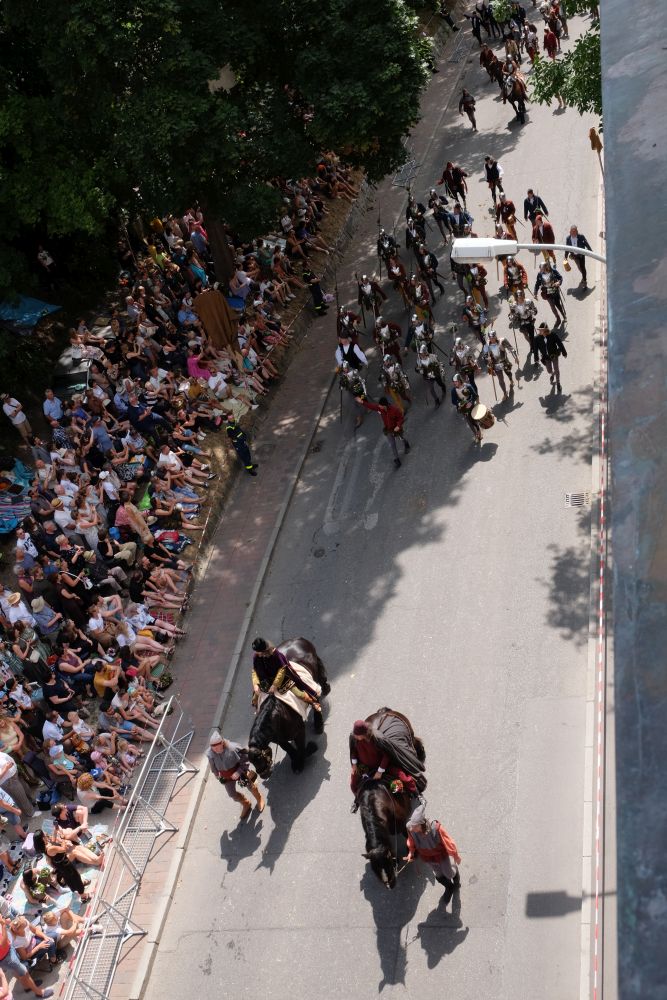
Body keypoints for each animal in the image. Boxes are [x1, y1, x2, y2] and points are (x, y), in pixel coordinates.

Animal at [247, 637, 330, 779]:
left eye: (260, 756)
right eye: (251, 761)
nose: (263, 775)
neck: (278, 716)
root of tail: (298, 639)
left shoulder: (299, 731)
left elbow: (301, 747)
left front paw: (303, 759)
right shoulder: (279, 739)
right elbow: (289, 749)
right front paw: (295, 761)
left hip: (312, 677)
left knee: (316, 692)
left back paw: (319, 723)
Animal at [357, 708, 426, 888]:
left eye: (388, 861)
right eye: (375, 867)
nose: (390, 884)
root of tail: (384, 711)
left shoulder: (401, 824)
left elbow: (407, 835)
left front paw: (413, 853)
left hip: (409, 733)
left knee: (416, 741)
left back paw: (421, 753)